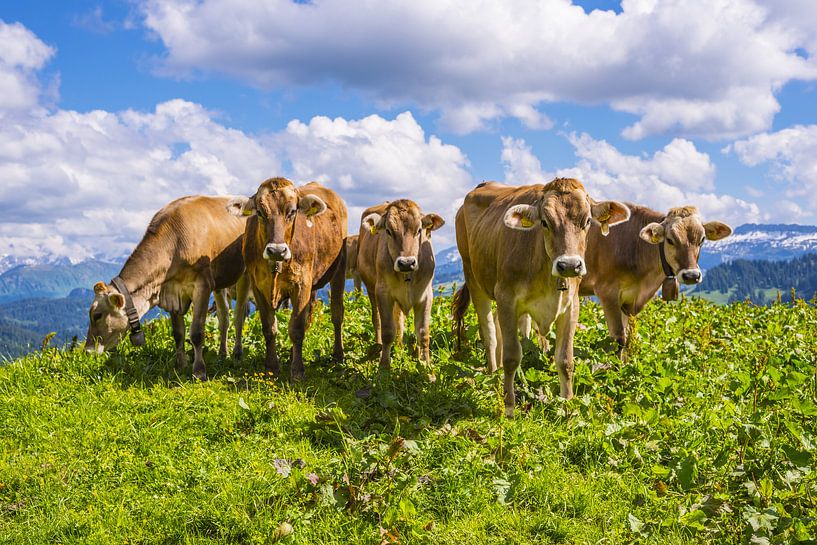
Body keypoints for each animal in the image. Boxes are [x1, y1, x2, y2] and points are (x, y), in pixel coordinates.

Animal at [85, 195, 250, 380]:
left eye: (97, 315)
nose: (87, 351)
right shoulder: (172, 291)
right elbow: (178, 333)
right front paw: (181, 365)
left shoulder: (203, 285)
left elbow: (196, 333)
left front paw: (199, 371)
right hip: (220, 283)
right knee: (224, 317)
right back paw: (223, 354)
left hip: (244, 275)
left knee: (239, 315)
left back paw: (237, 354)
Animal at [227, 177, 347, 380]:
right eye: (260, 212)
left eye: (292, 212)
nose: (276, 250)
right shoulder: (258, 286)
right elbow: (269, 328)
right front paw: (271, 367)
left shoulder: (302, 283)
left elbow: (297, 328)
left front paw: (297, 371)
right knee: (308, 315)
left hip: (339, 268)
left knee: (336, 313)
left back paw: (338, 355)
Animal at [356, 200, 445, 368]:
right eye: (388, 231)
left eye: (419, 230)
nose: (406, 263)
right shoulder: (383, 293)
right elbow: (387, 331)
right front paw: (384, 366)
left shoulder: (426, 295)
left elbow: (423, 332)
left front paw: (426, 366)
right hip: (371, 288)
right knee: (377, 319)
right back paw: (378, 347)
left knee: (399, 319)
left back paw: (401, 346)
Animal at [452, 179, 630, 417]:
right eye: (545, 222)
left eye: (587, 221)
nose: (569, 265)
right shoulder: (506, 298)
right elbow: (512, 356)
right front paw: (509, 407)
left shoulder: (571, 307)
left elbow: (565, 360)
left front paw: (567, 407)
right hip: (473, 277)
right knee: (489, 332)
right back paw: (492, 372)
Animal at [580, 204, 732, 356]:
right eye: (670, 240)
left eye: (702, 239)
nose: (691, 276)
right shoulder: (607, 292)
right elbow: (619, 340)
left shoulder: (629, 301)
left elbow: (629, 341)